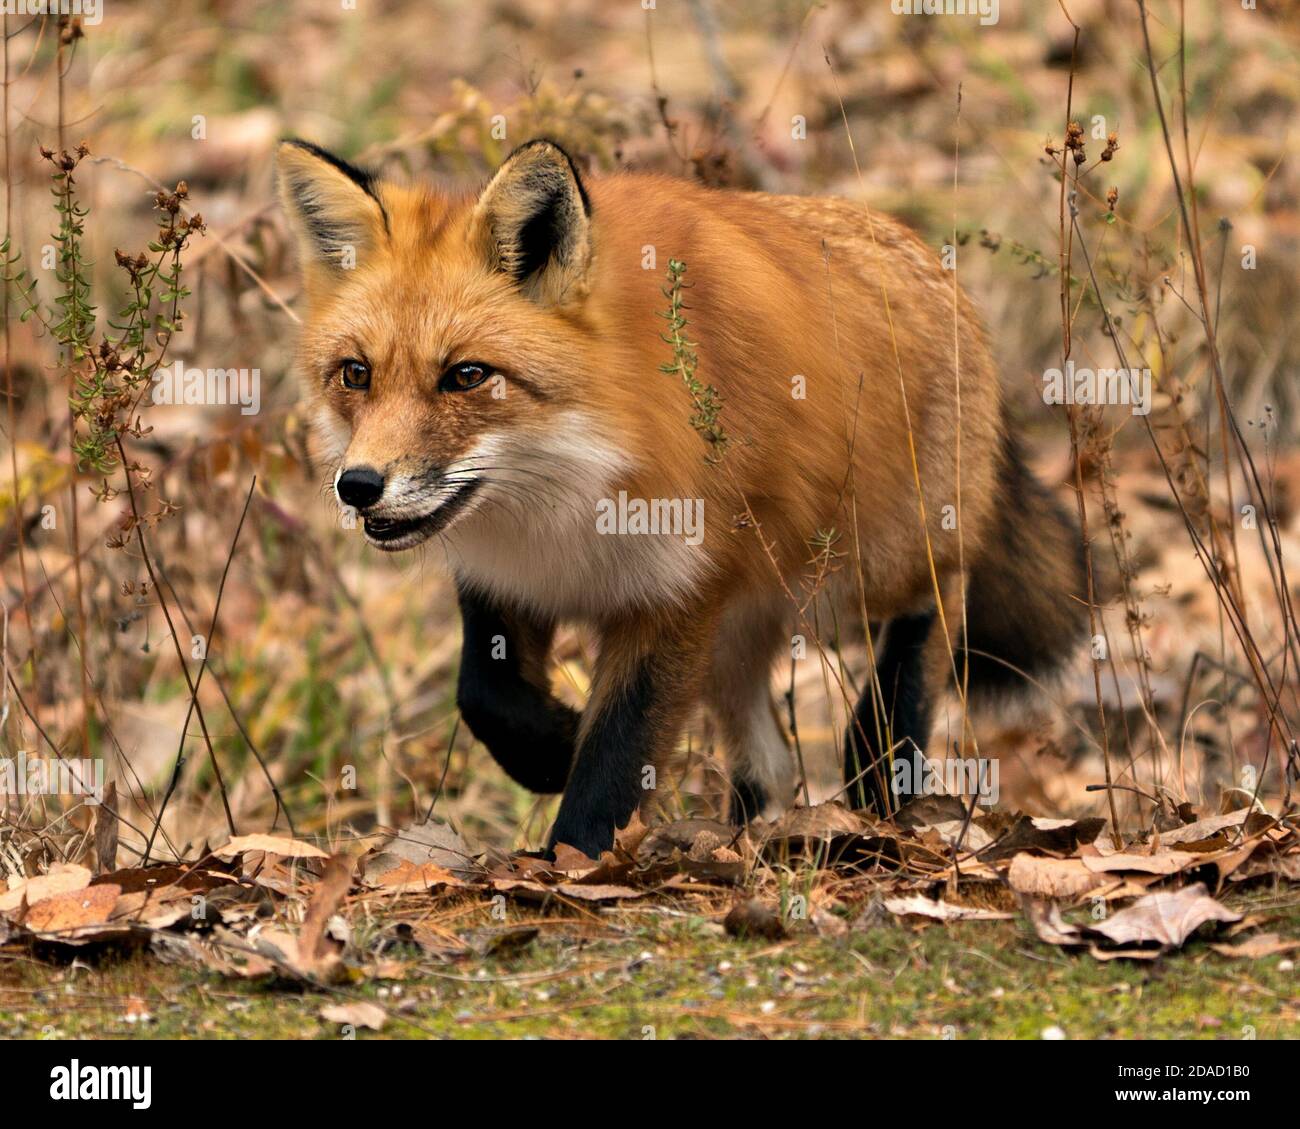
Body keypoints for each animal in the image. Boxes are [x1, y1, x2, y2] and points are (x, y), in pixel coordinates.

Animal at [276, 136, 1087, 861]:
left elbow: (616, 751)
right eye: (355, 374)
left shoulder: (676, 588)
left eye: (466, 376)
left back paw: (880, 765)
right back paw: (753, 838)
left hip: (872, 560)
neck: (572, 485)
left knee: (936, 603)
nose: (358, 486)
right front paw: (551, 747)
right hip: (740, 627)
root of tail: (929, 261)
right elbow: (486, 695)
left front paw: (572, 856)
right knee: (770, 762)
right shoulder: (508, 578)